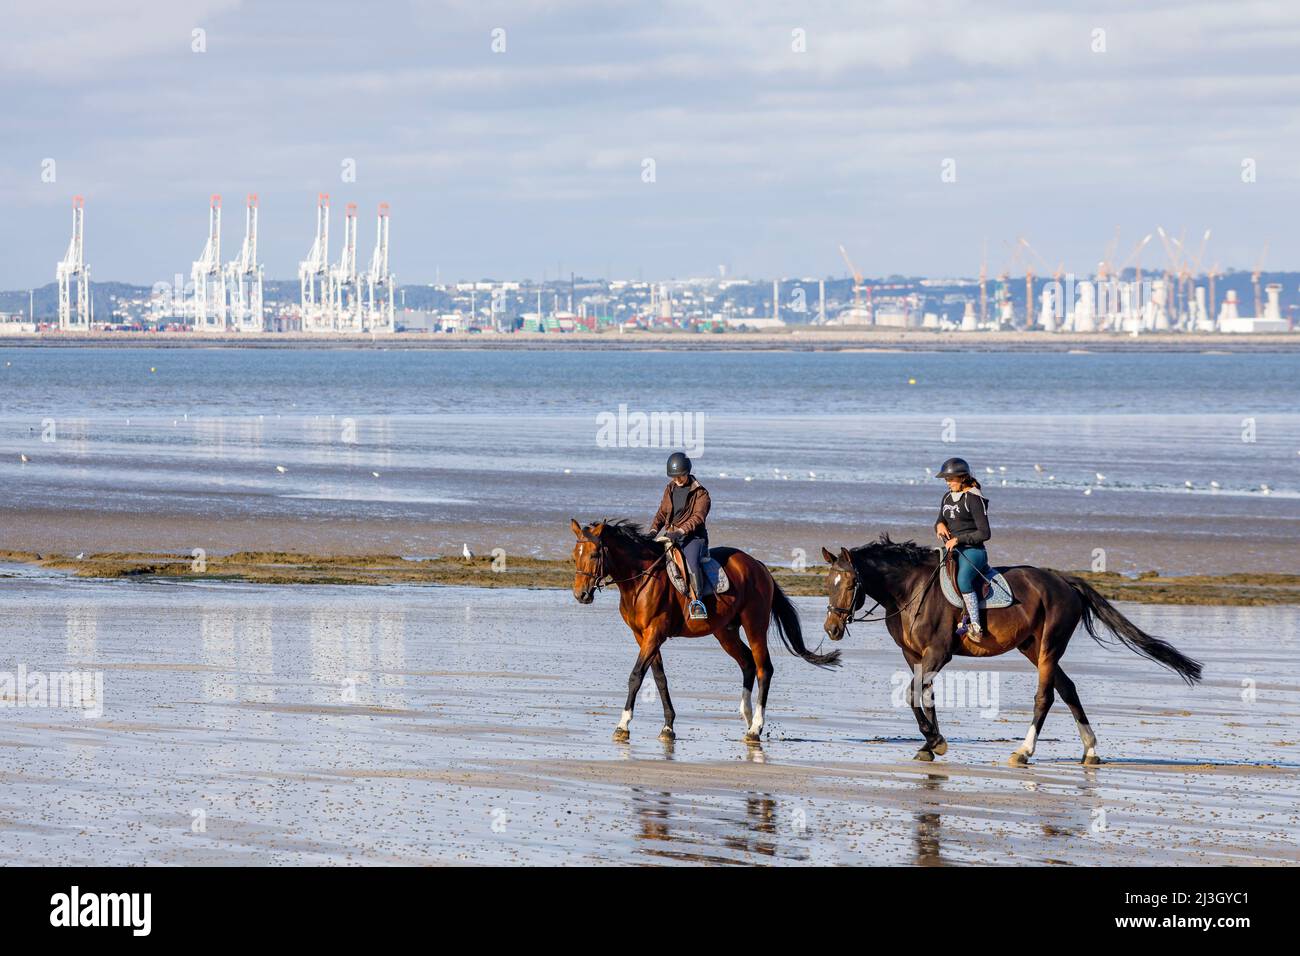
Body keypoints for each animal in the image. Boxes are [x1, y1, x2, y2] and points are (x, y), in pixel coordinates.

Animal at [572, 520, 842, 743]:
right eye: (575, 556)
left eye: (594, 554)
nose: (581, 595)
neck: (640, 580)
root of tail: (758, 565)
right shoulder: (642, 636)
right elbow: (659, 678)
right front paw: (668, 726)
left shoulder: (654, 633)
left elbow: (636, 676)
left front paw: (623, 725)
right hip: (725, 631)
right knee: (747, 663)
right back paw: (747, 717)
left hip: (754, 624)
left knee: (763, 668)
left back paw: (756, 728)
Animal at [816, 541, 1201, 764]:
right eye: (827, 583)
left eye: (849, 583)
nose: (831, 628)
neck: (910, 591)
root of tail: (1064, 581)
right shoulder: (914, 656)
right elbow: (925, 696)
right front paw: (930, 744)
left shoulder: (938, 653)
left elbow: (913, 695)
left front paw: (936, 741)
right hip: (1031, 646)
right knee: (1068, 689)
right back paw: (1090, 749)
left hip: (1048, 646)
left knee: (1046, 696)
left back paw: (1024, 751)